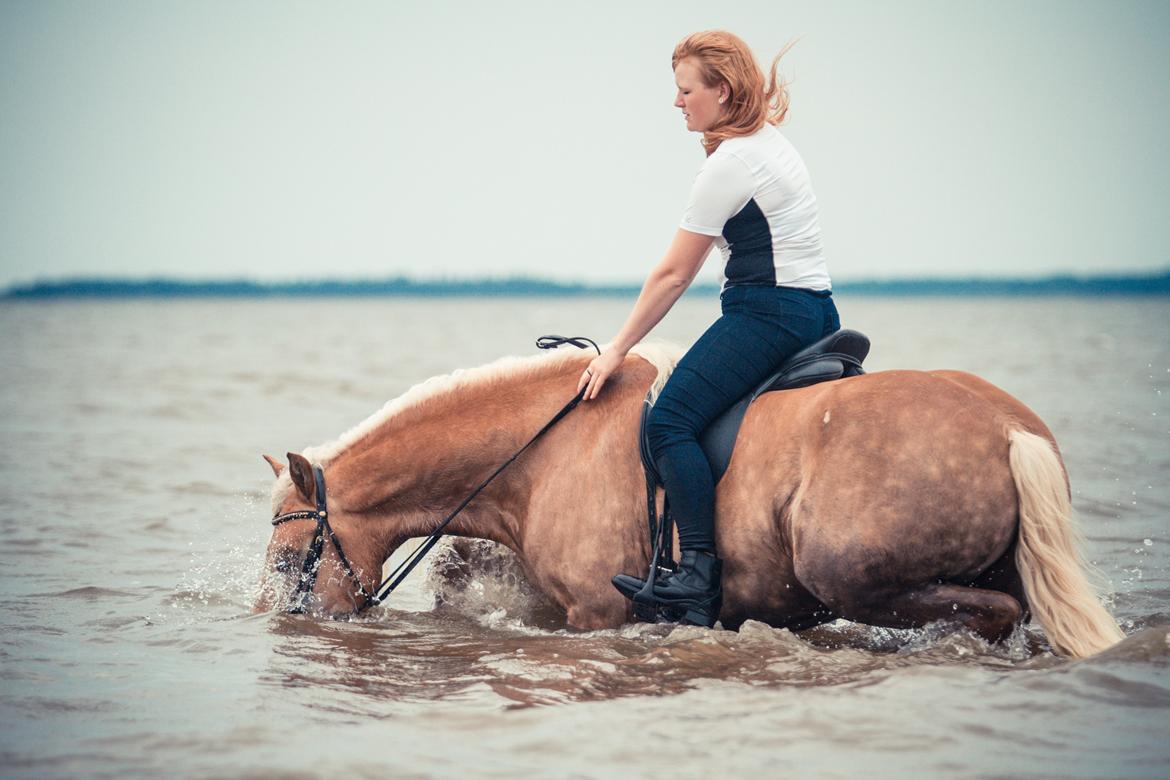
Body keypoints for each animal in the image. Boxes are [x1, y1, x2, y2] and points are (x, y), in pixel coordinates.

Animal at [253, 343, 1123, 654]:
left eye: (289, 558)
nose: (279, 623)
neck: (538, 453)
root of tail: (1011, 429)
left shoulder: (597, 614)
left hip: (853, 574)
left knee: (991, 614)